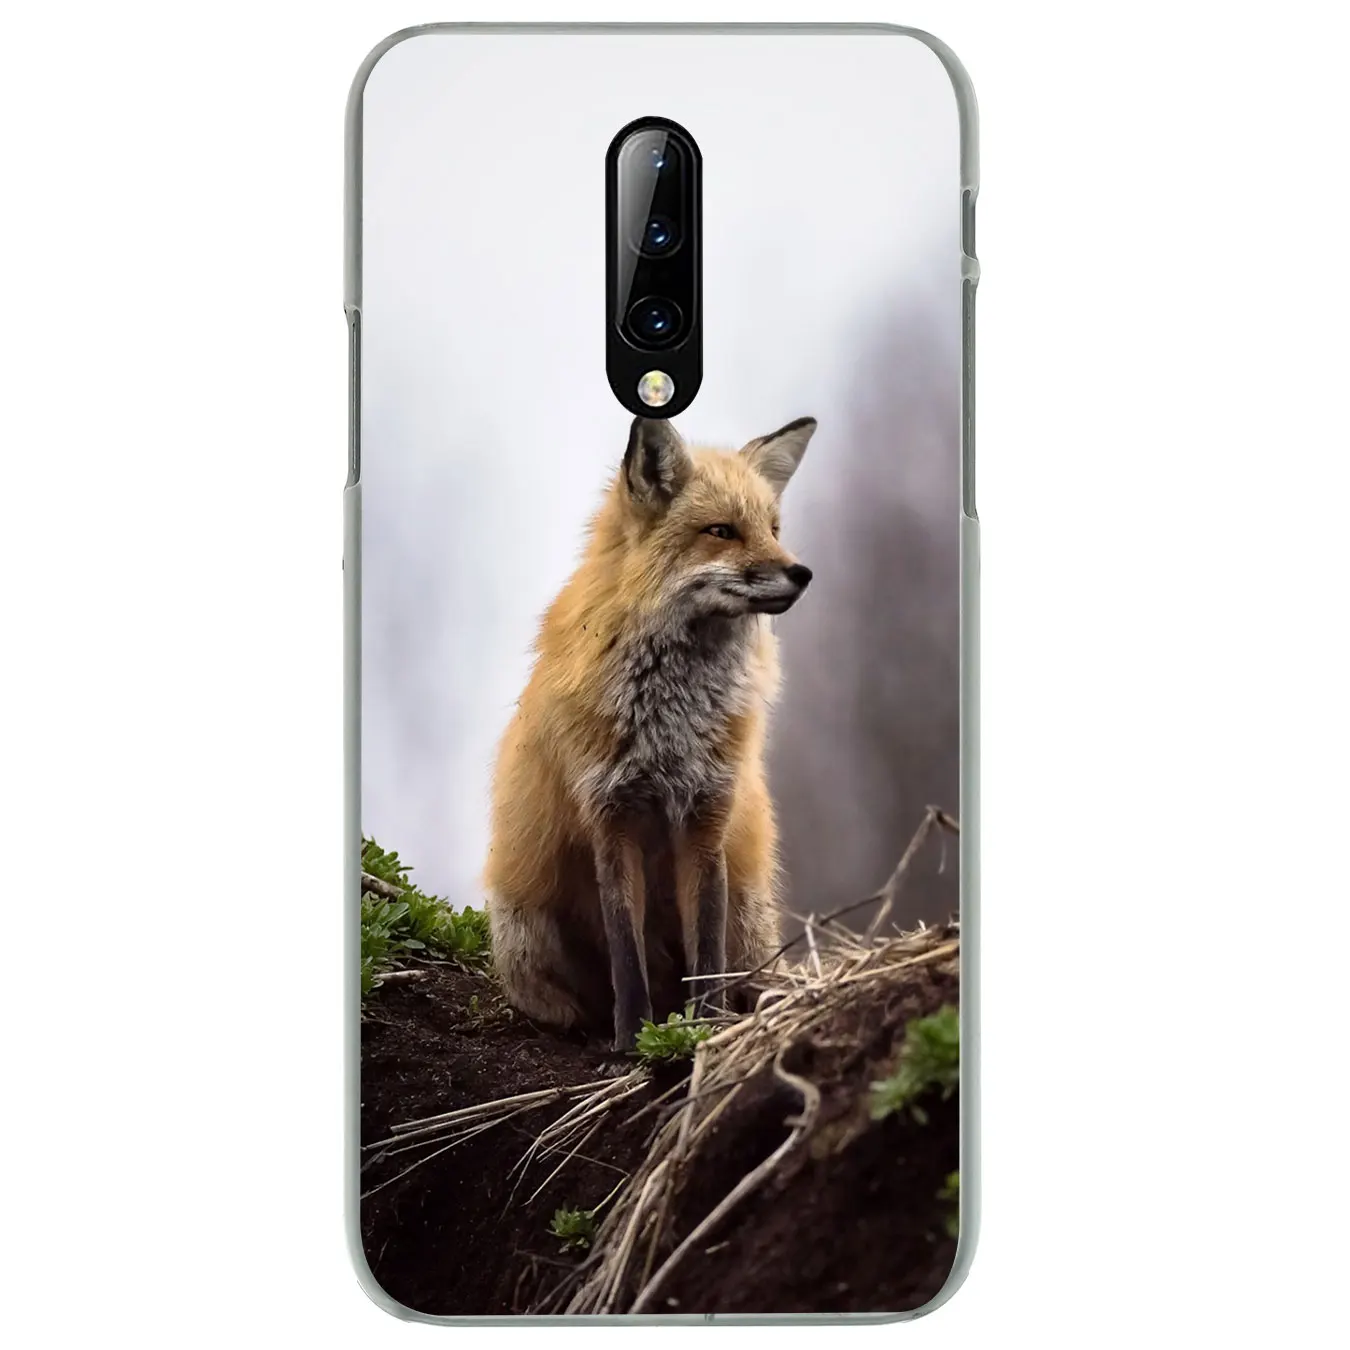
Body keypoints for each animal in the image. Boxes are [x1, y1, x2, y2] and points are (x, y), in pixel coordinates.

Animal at [484, 414, 817, 1051]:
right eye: (722, 531)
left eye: (773, 529)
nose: (802, 573)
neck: (672, 724)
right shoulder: (611, 820)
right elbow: (626, 953)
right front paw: (632, 1042)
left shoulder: (707, 819)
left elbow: (705, 954)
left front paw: (704, 1029)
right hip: (524, 934)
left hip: (749, 918)